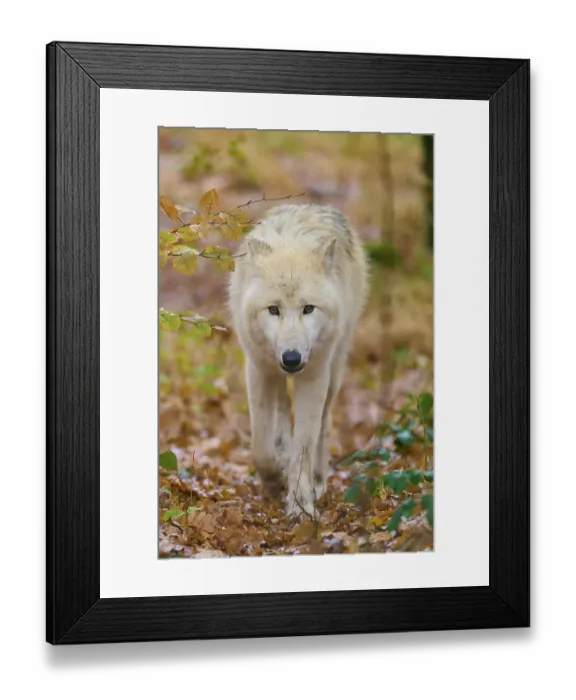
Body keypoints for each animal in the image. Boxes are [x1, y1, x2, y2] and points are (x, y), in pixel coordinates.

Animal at [228, 204, 369, 517]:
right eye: (273, 309)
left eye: (308, 309)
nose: (291, 359)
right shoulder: (256, 369)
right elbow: (260, 448)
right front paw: (273, 479)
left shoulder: (314, 375)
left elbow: (304, 443)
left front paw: (300, 504)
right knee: (281, 408)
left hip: (334, 370)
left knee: (324, 423)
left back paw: (317, 479)